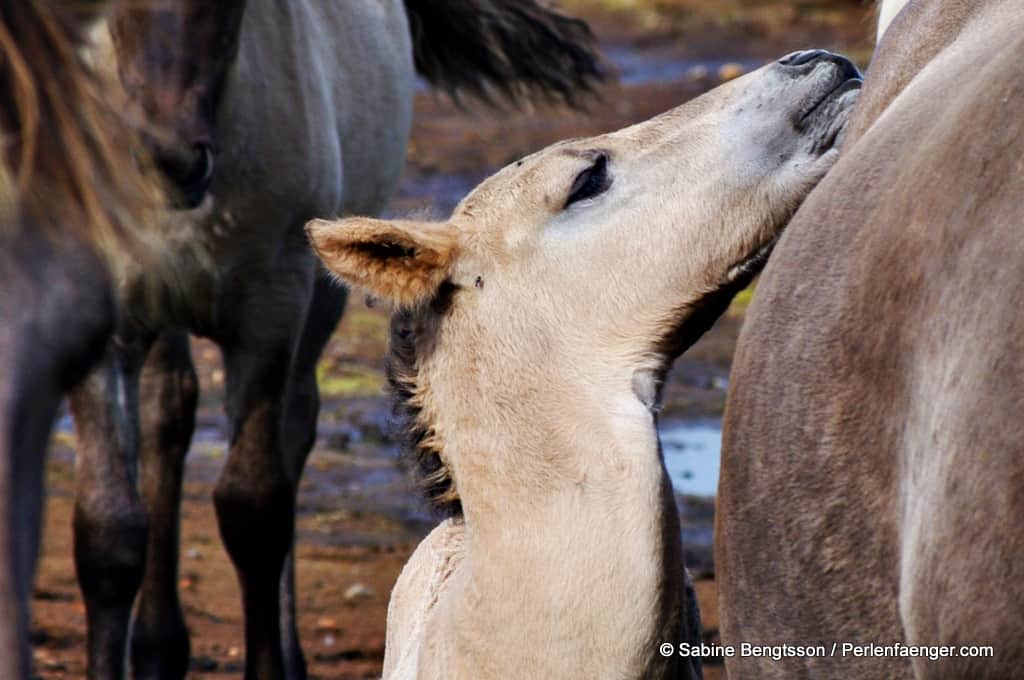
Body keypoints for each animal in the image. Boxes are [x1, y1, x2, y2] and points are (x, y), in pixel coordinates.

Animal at [74, 1, 606, 680]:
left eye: (231, 9)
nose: (170, 164)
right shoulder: (111, 322)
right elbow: (108, 535)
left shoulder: (271, 310)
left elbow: (254, 509)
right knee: (167, 413)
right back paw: (158, 647)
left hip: (320, 298)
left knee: (292, 431)